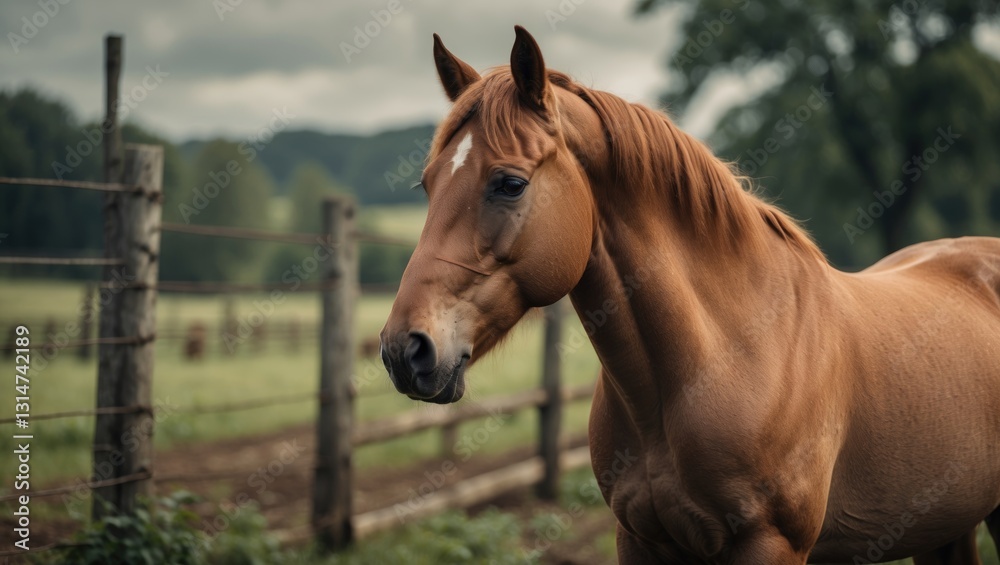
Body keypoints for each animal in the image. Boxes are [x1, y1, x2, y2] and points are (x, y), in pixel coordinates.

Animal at [379, 26, 1000, 564]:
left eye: (510, 183)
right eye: (426, 185)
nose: (403, 349)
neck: (726, 356)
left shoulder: (771, 545)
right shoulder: (639, 539)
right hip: (943, 527)